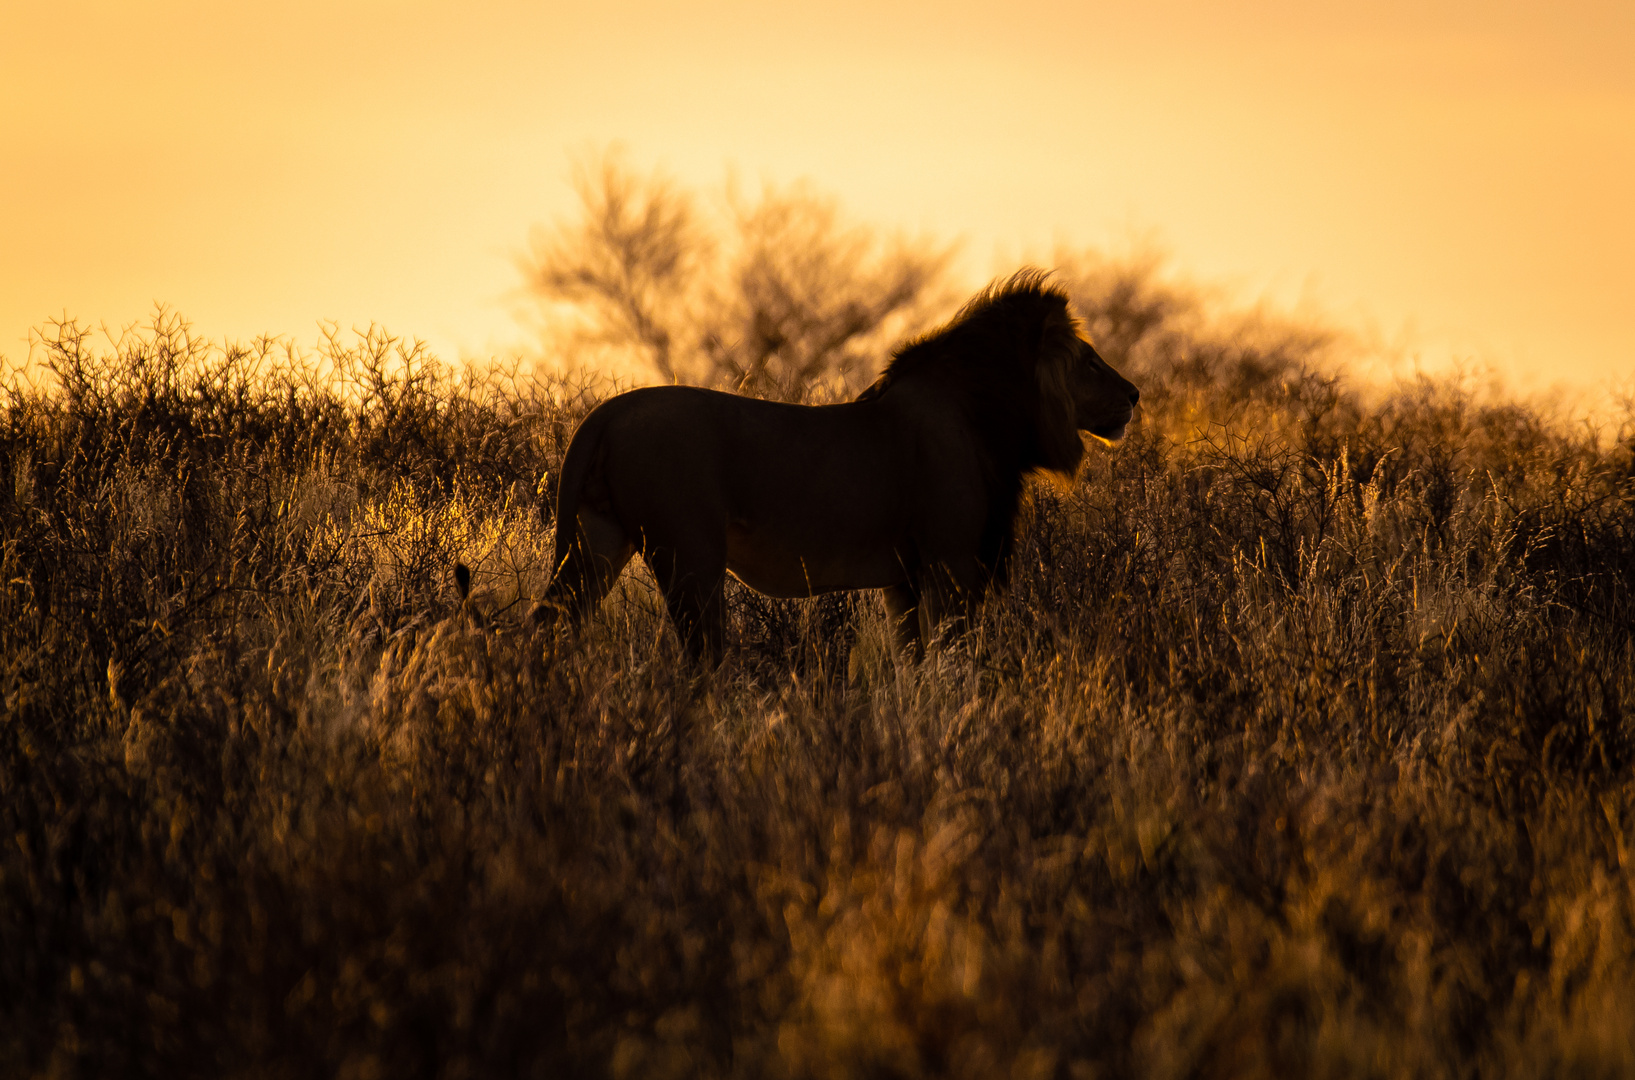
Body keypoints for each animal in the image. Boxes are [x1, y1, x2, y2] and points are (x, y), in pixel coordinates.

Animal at [526, 269, 1137, 666]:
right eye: (1088, 361)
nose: (1135, 393)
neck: (987, 417)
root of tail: (605, 413)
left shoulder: (905, 579)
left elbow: (916, 667)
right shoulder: (951, 564)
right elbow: (952, 667)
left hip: (595, 541)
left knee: (547, 627)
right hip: (689, 556)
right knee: (702, 664)